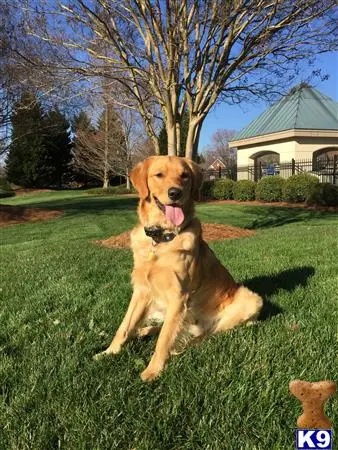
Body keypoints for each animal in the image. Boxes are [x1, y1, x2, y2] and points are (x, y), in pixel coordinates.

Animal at [93, 156, 262, 382]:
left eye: (185, 176)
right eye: (159, 174)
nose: (175, 193)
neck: (160, 239)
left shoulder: (178, 296)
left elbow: (164, 339)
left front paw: (153, 370)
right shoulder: (141, 291)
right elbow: (124, 326)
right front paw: (109, 352)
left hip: (249, 298)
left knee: (206, 334)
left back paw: (187, 344)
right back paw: (144, 331)